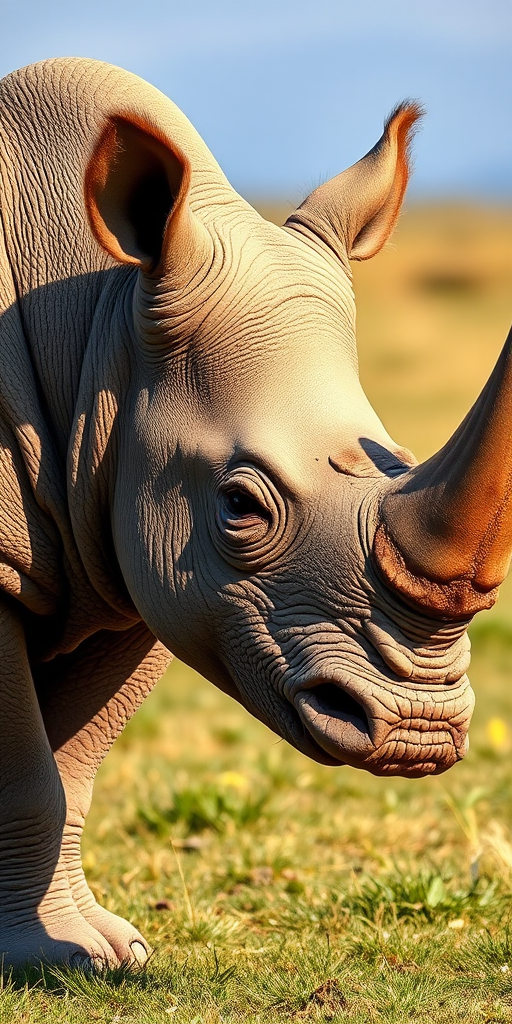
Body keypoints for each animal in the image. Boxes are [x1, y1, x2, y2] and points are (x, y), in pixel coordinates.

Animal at [0, 57, 510, 969]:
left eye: (401, 458)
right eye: (240, 505)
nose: (417, 730)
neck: (101, 328)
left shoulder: (133, 551)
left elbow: (72, 769)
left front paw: (106, 951)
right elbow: (29, 773)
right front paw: (44, 961)